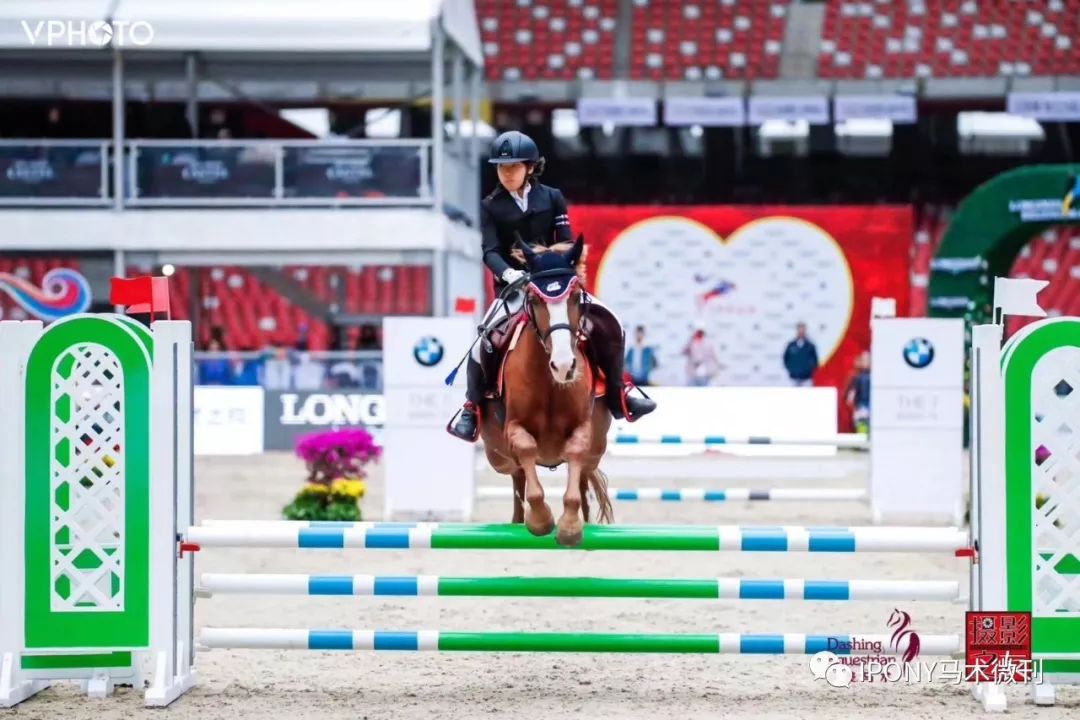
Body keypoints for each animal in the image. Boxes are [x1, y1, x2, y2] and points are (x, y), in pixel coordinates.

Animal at [483, 236, 617, 546]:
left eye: (575, 297)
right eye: (534, 299)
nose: (564, 366)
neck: (550, 386)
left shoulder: (583, 429)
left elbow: (576, 454)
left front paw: (569, 527)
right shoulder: (513, 428)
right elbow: (526, 450)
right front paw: (541, 520)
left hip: (597, 450)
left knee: (583, 478)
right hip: (497, 458)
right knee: (518, 476)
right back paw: (519, 520)